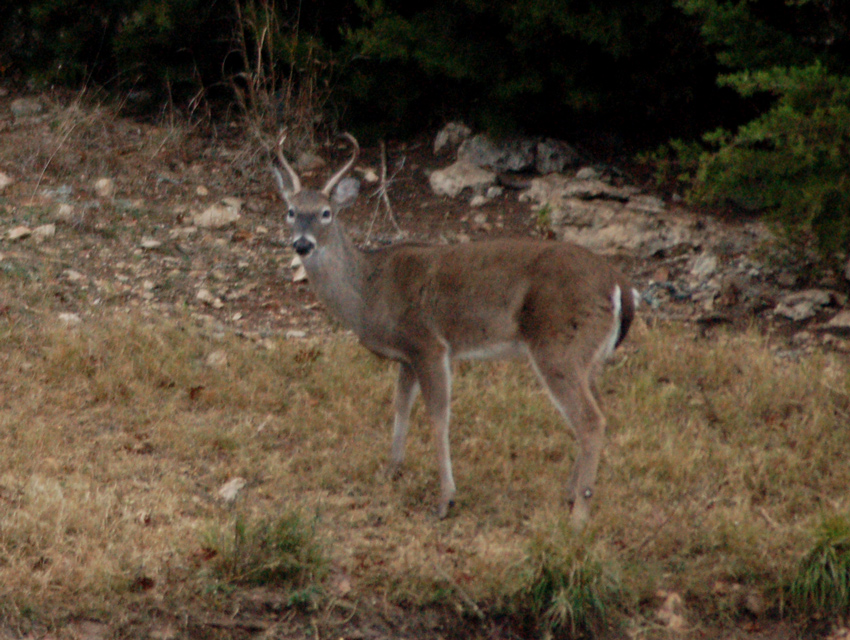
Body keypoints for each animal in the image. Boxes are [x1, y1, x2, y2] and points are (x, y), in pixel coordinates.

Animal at [272, 133, 638, 528]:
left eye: (326, 213)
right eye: (290, 211)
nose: (302, 244)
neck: (370, 292)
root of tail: (619, 285)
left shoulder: (429, 344)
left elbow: (438, 417)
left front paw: (445, 499)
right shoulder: (406, 356)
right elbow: (401, 407)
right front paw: (391, 470)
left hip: (558, 345)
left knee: (590, 420)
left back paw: (578, 518)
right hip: (587, 355)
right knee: (599, 411)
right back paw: (570, 494)